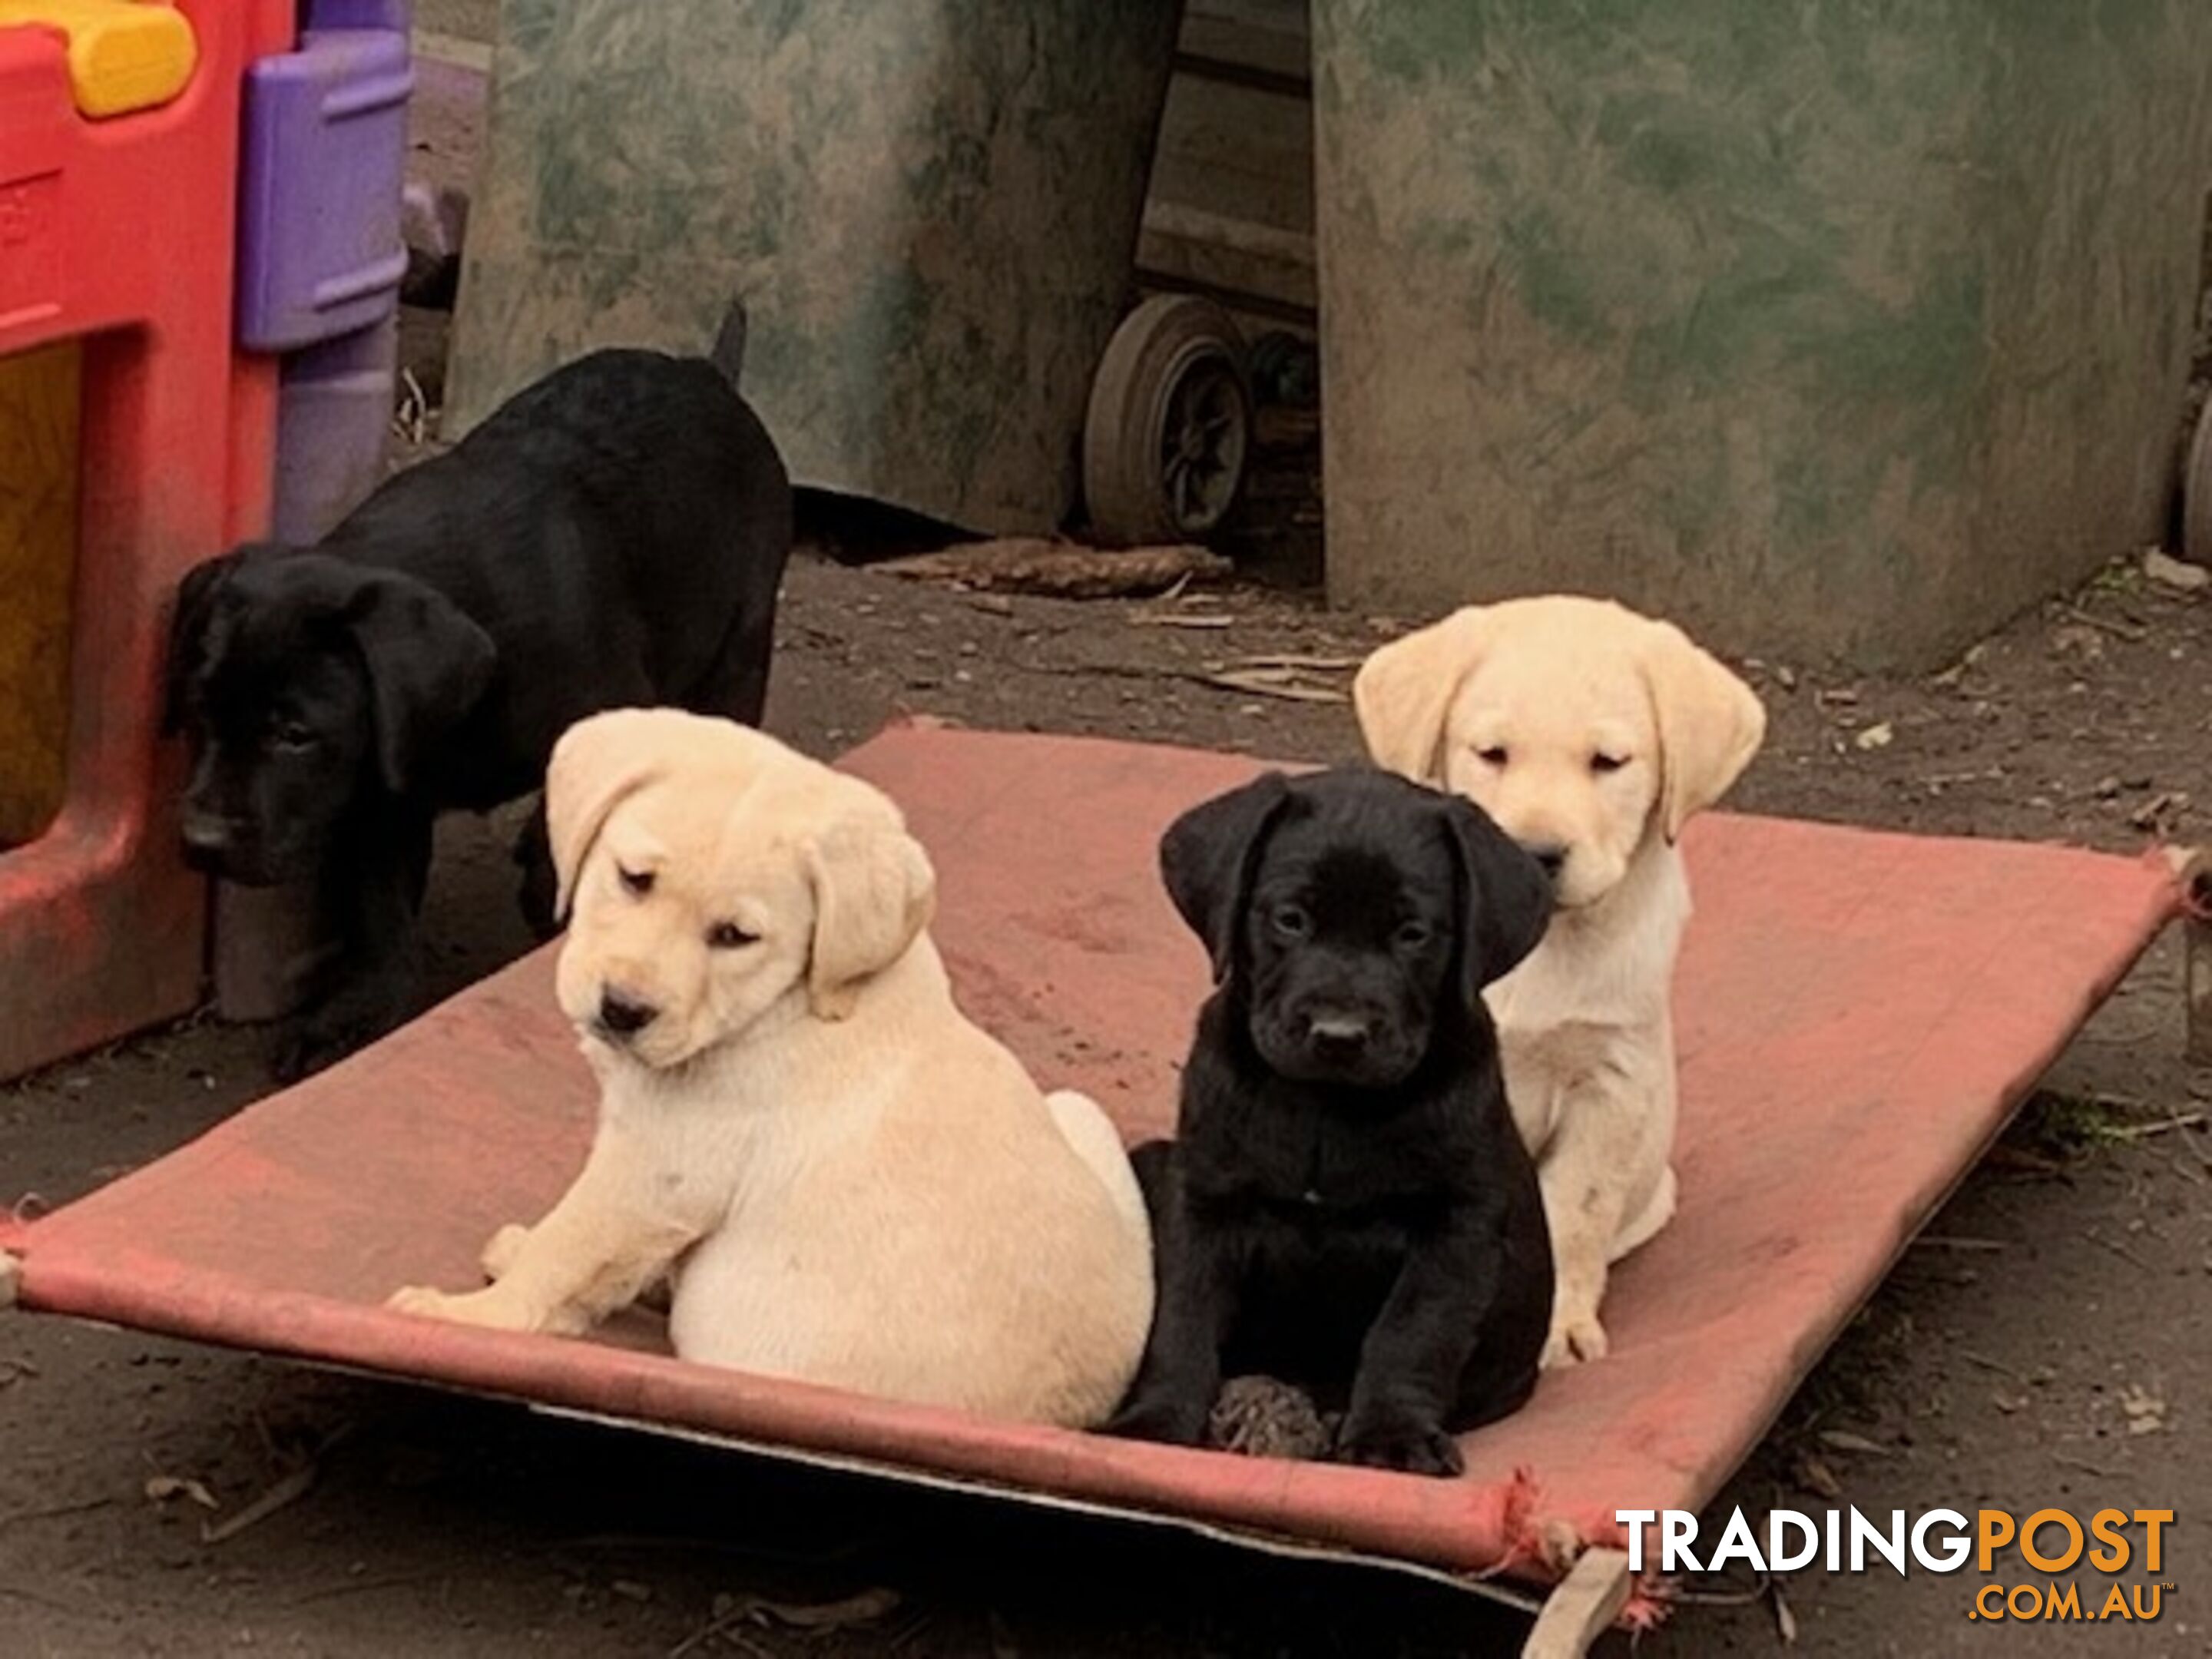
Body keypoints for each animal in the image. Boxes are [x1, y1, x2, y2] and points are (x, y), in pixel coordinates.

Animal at [167, 307, 800, 1084]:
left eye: (295, 735)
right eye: (200, 713)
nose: (200, 840)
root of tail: (708, 371)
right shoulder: (386, 795)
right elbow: (380, 914)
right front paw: (355, 1017)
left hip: (740, 646)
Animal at [391, 712, 1159, 1433]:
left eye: (736, 937)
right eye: (635, 880)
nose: (623, 1010)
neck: (788, 1000)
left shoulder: (654, 1171)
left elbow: (567, 1252)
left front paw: (460, 1317)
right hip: (1078, 1110)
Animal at [1106, 765, 1557, 1477]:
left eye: (1412, 933)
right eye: (1291, 919)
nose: (1339, 1035)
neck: (1328, 1107)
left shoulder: (1458, 1224)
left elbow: (1412, 1331)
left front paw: (1392, 1436)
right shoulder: (1204, 1201)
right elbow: (1181, 1317)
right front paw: (1155, 1422)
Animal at [1345, 606, 1760, 1371]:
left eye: (1608, 763)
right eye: (1492, 753)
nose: (1535, 854)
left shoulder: (1610, 1085)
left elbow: (1570, 1215)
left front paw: (1557, 1325)